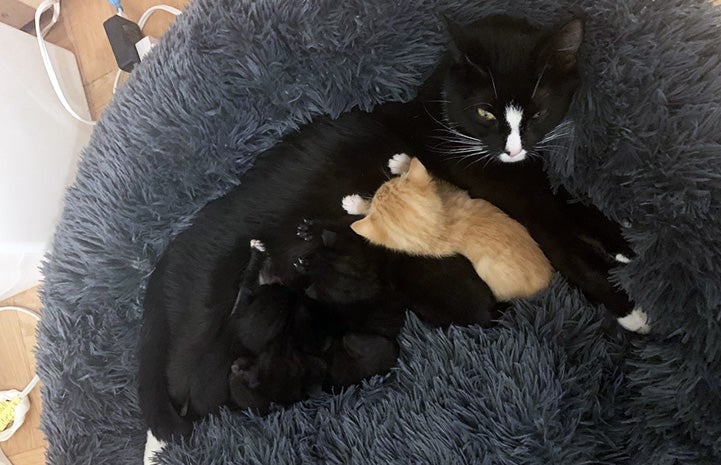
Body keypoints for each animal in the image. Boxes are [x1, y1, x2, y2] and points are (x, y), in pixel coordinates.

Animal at [342, 154, 552, 300]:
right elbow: (433, 178)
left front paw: (357, 204)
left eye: (381, 187)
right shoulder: (449, 191)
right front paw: (404, 164)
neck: (441, 224)